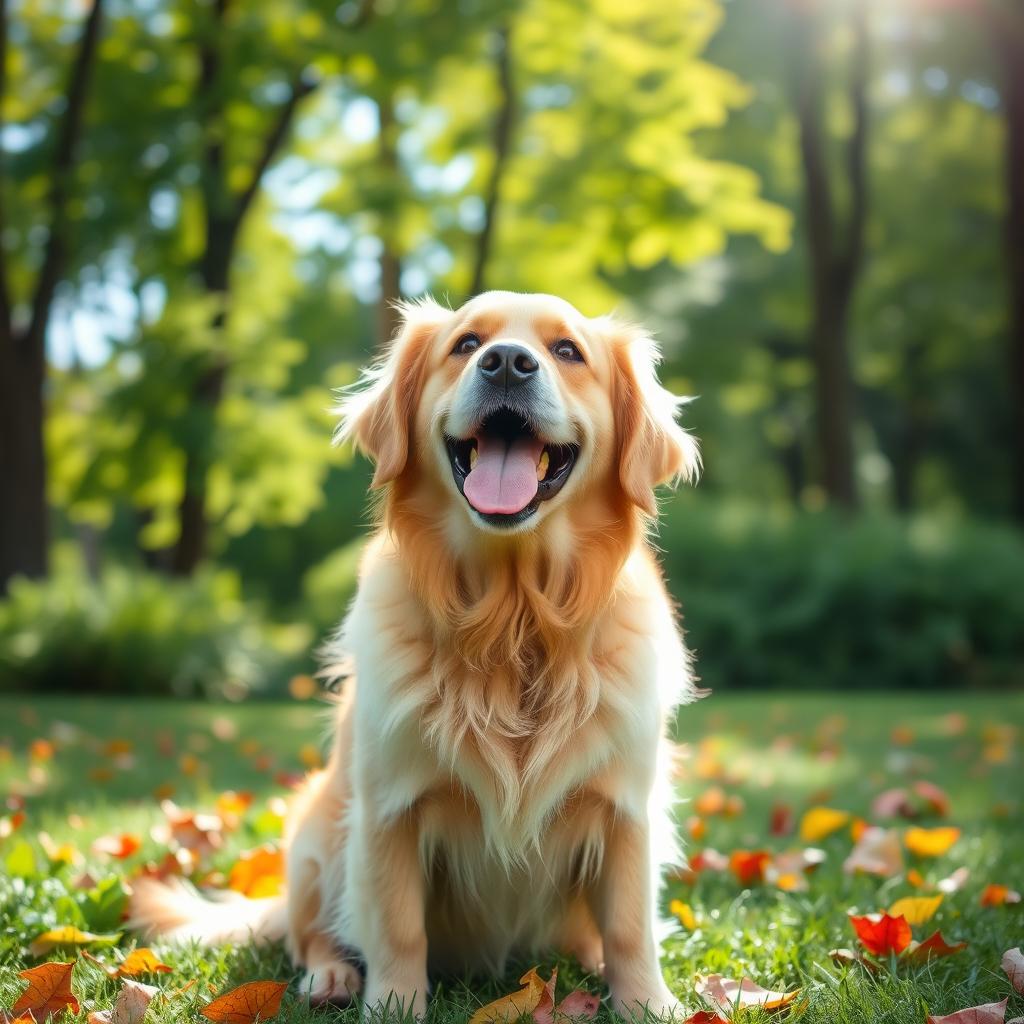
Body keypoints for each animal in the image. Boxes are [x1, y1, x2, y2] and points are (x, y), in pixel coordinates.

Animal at [132, 292, 700, 1019]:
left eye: (568, 351)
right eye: (466, 344)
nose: (507, 363)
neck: (512, 620)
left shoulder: (626, 807)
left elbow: (630, 925)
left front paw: (647, 1002)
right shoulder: (389, 809)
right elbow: (397, 926)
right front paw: (393, 1003)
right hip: (317, 830)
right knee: (310, 933)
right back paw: (332, 976)